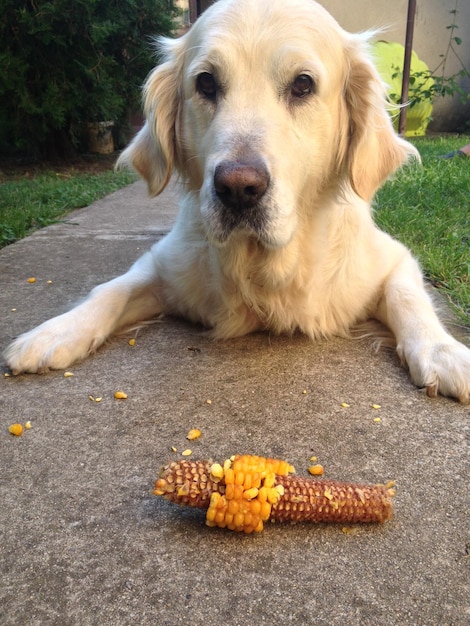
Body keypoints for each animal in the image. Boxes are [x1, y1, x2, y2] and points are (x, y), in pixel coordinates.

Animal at [3, 0, 470, 400]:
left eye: (303, 84)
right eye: (206, 82)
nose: (238, 189)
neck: (260, 266)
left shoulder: (394, 258)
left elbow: (409, 298)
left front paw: (444, 352)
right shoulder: (164, 264)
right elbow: (111, 290)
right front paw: (54, 332)